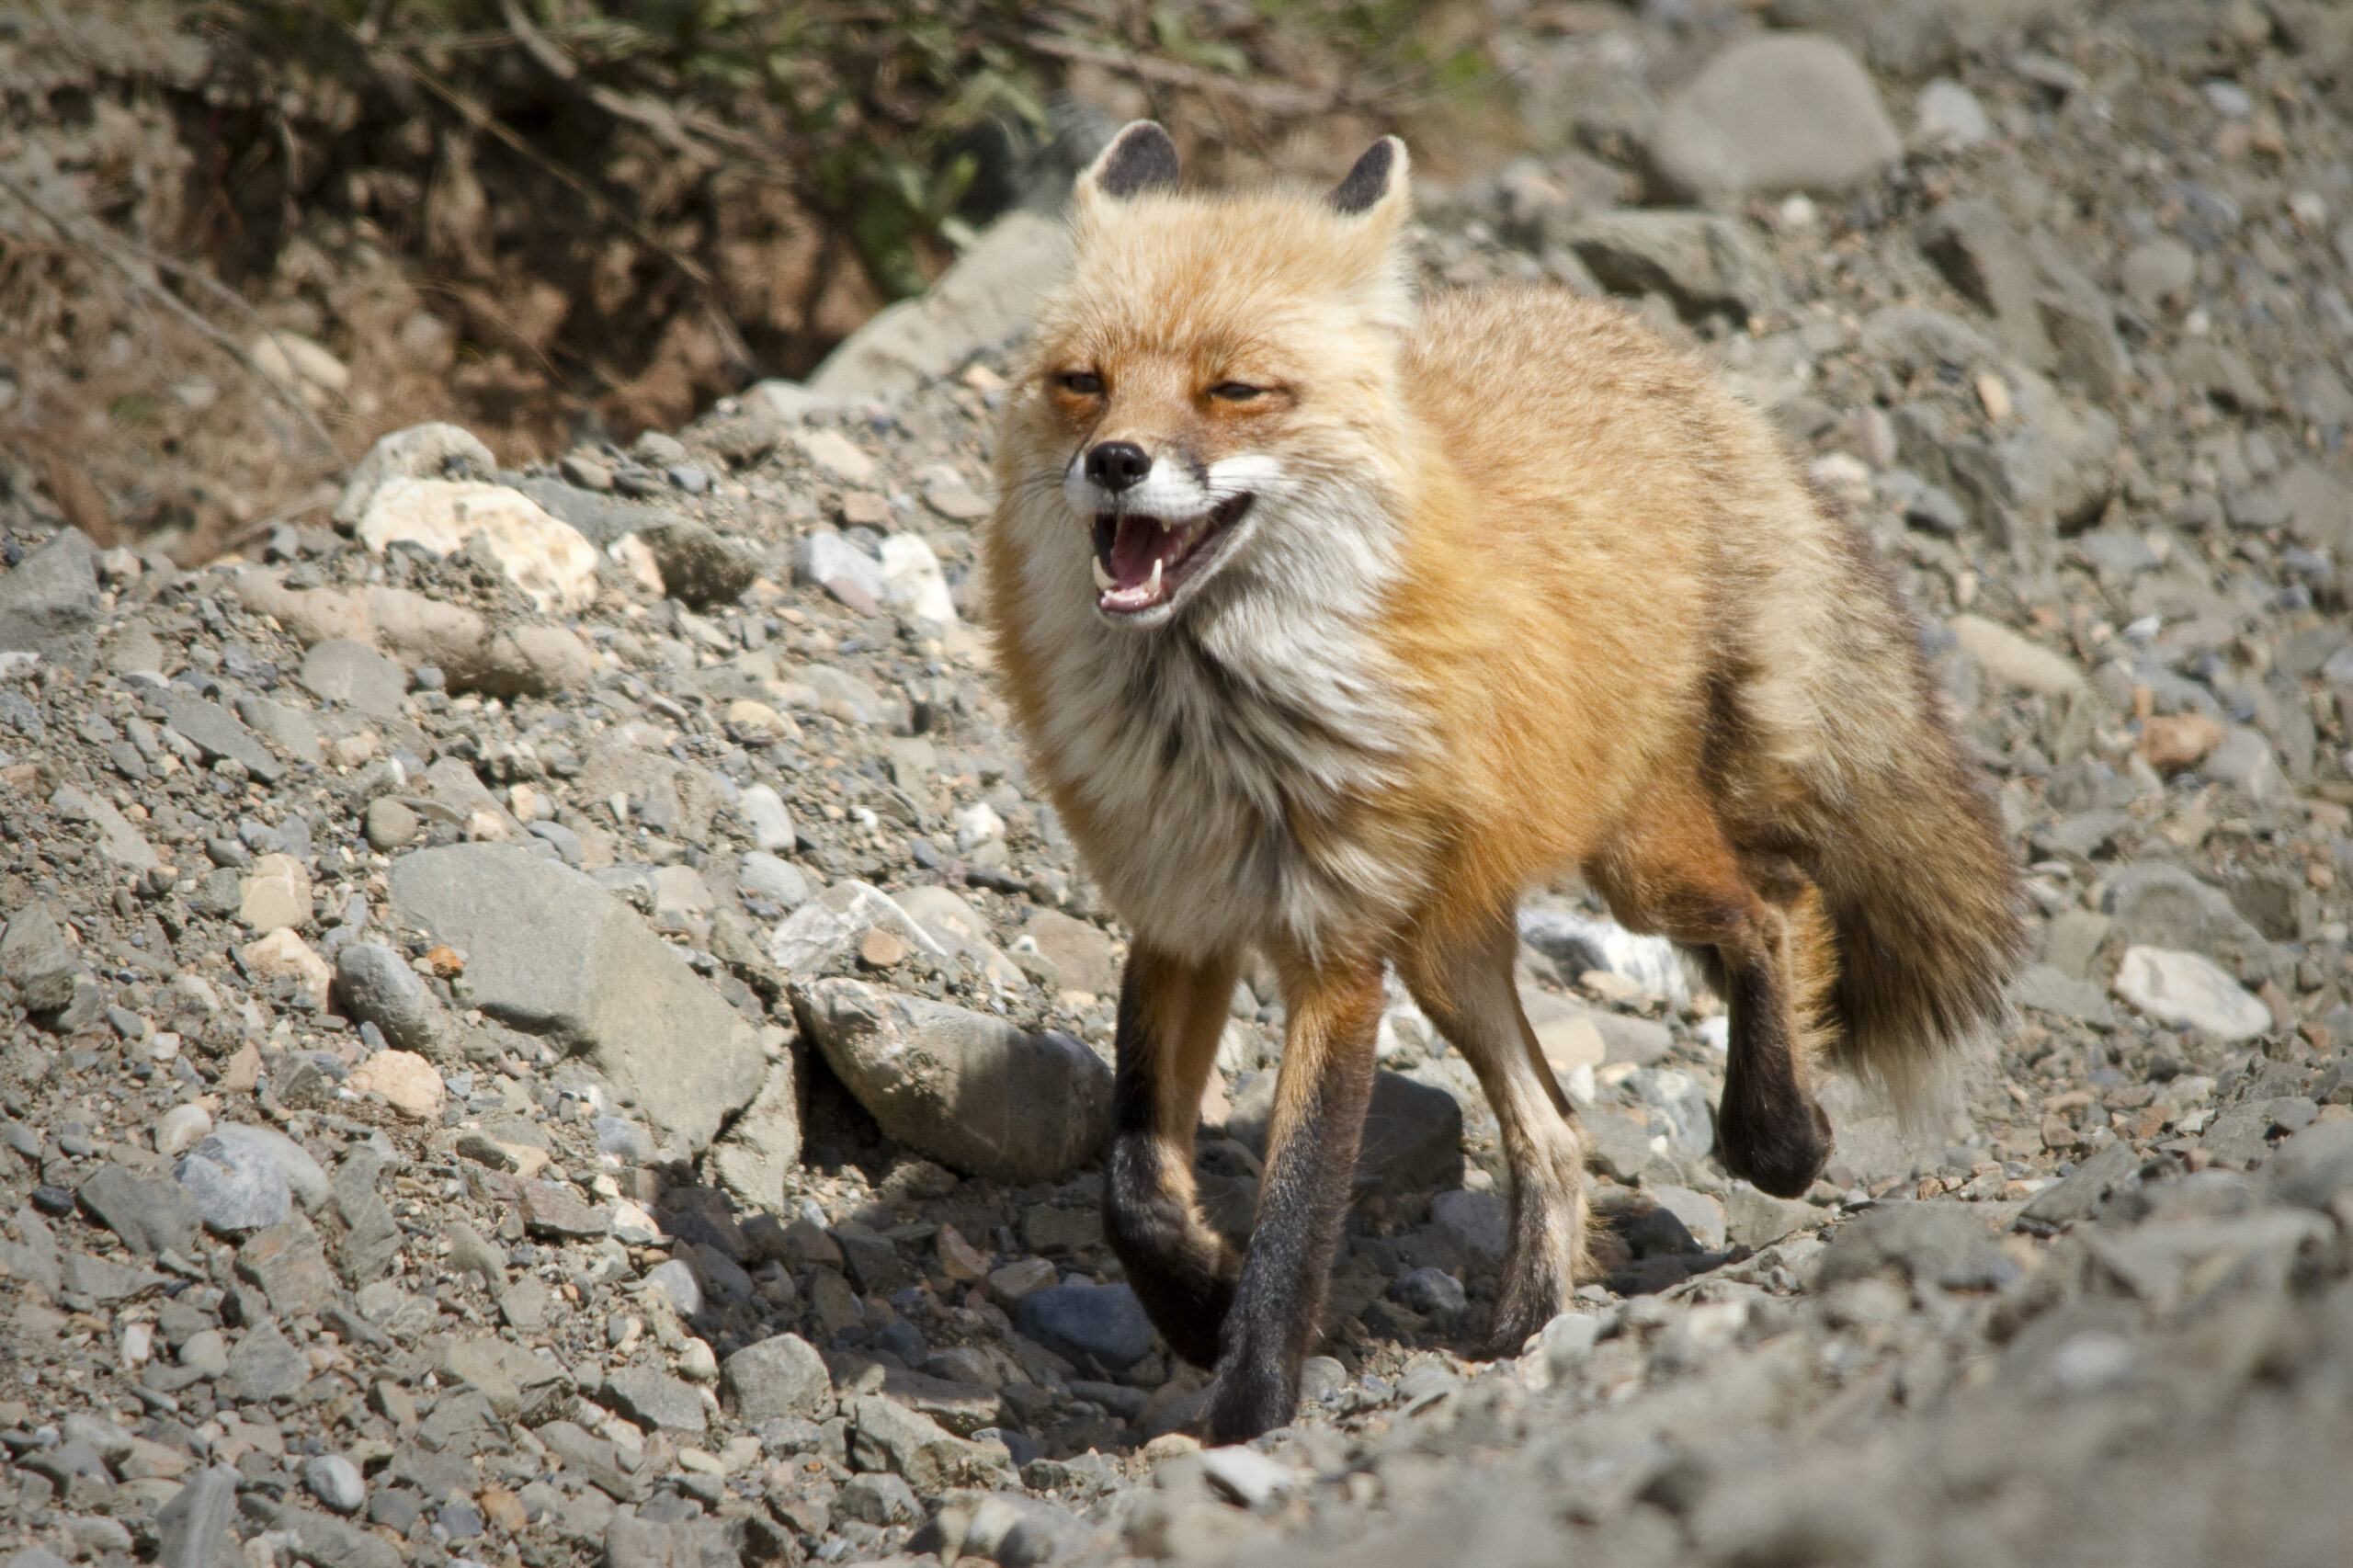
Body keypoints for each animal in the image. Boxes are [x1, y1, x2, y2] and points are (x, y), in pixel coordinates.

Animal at [981, 122, 2025, 1443]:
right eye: (1084, 381)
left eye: (1234, 389)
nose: (1115, 462)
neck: (1214, 730)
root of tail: (1655, 354)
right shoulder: (1184, 913)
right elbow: (1134, 1183)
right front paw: (1196, 1303)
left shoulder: (1336, 951)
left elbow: (1298, 1204)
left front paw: (1250, 1402)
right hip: (1448, 946)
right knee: (1555, 1129)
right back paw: (1528, 1322)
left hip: (1626, 868)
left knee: (1774, 905)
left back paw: (1776, 1137)